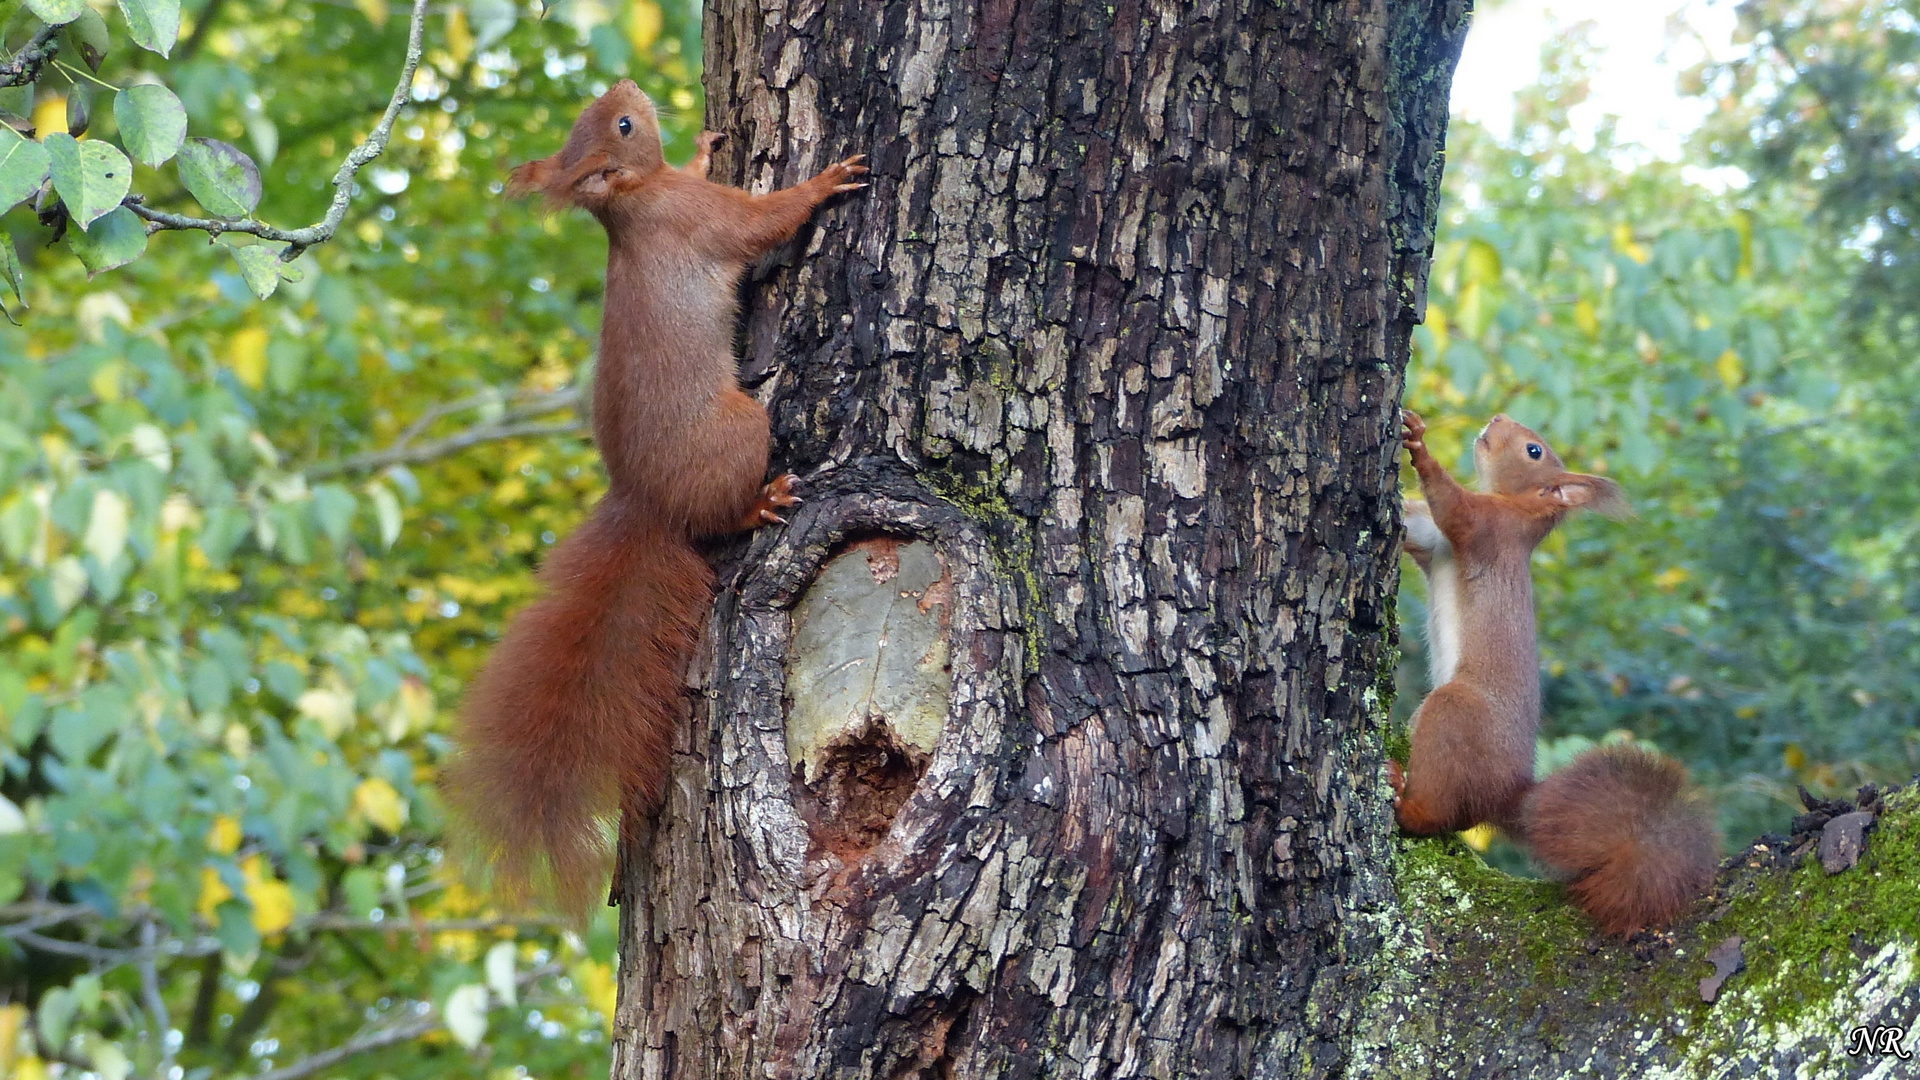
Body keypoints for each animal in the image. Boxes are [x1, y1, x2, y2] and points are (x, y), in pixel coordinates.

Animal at [445, 79, 867, 910]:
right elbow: (763, 221)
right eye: (623, 125)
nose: (630, 87)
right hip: (741, 427)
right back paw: (761, 503)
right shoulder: (700, 218)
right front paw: (827, 182)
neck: (634, 201)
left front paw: (706, 144)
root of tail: (646, 502)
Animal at [1390, 407, 1720, 930]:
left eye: (1534, 451)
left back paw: (1404, 799)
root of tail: (1507, 794)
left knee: (1438, 813)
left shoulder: (1488, 528)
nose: (1498, 416)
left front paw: (1419, 444)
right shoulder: (1432, 540)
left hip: (1456, 711)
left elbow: (1453, 506)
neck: (1519, 506)